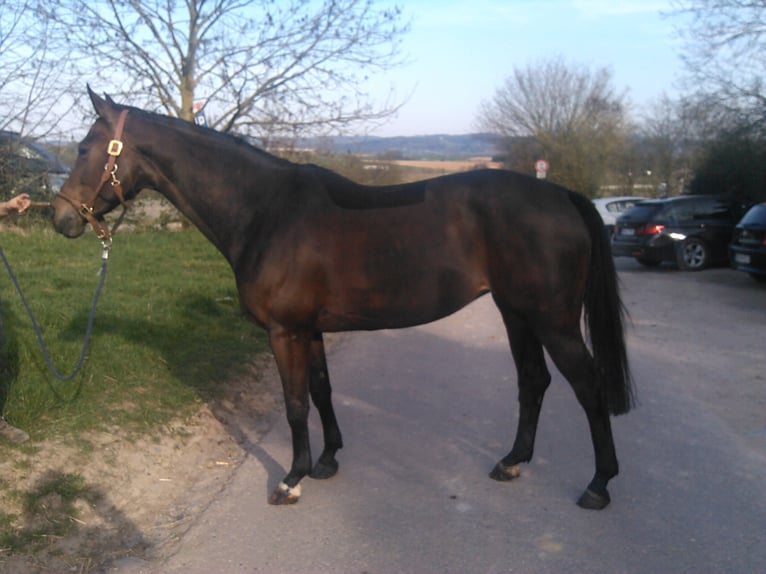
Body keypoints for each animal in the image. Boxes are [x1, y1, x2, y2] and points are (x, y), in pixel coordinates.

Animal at [52, 88, 634, 510]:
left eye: (84, 148)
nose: (59, 218)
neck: (265, 210)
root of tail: (562, 196)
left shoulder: (284, 330)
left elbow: (293, 403)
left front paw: (291, 480)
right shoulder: (309, 328)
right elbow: (322, 391)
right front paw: (328, 461)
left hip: (553, 321)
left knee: (589, 388)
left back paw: (599, 485)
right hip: (517, 313)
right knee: (533, 382)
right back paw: (512, 462)